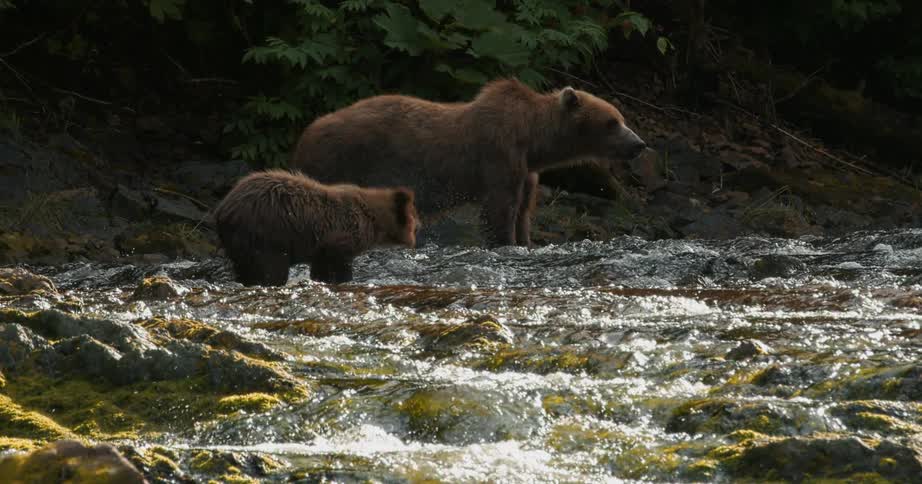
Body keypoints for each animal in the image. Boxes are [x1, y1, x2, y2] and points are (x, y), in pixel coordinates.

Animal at [212, 169, 418, 286]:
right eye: (415, 223)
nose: (415, 240)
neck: (372, 220)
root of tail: (222, 208)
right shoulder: (339, 237)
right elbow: (336, 265)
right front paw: (344, 279)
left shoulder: (323, 247)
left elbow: (321, 268)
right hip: (264, 232)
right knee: (270, 267)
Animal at [289, 78, 646, 248]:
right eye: (612, 122)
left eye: (621, 118)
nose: (639, 144)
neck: (533, 140)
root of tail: (307, 131)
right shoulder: (498, 156)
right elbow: (499, 207)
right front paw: (504, 241)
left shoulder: (527, 170)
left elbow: (523, 209)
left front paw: (525, 240)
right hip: (343, 160)